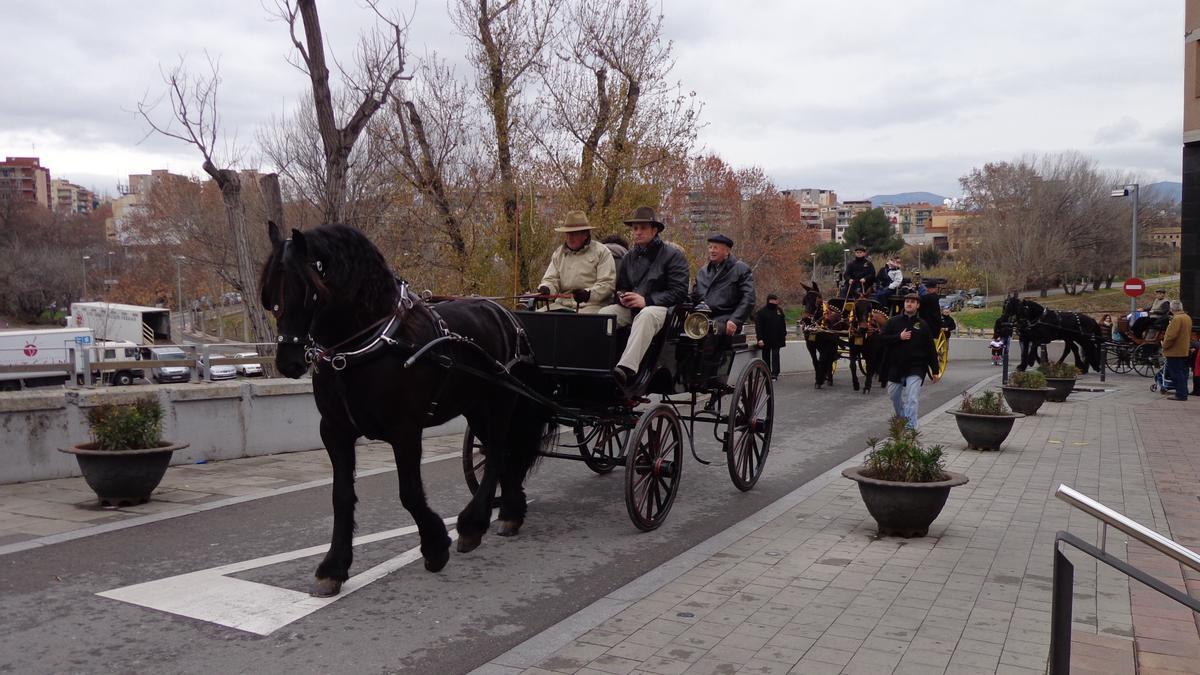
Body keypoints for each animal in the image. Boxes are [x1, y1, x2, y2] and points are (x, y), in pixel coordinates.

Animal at [260, 220, 554, 593]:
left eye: (307, 290)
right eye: (271, 294)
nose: (289, 362)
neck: (369, 344)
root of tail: (506, 315)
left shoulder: (405, 430)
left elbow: (409, 493)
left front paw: (436, 546)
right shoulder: (335, 431)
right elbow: (341, 496)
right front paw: (334, 567)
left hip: (500, 400)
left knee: (500, 451)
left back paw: (473, 524)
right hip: (475, 406)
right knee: (497, 452)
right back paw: (510, 512)